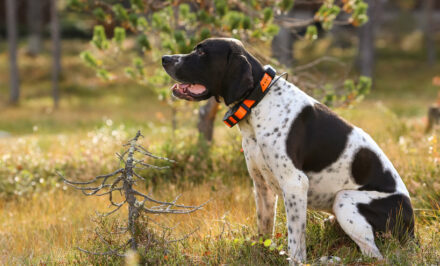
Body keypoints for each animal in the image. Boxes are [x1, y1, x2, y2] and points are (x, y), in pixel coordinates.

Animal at [161, 38, 412, 264]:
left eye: (202, 52)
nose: (165, 58)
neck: (259, 102)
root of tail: (411, 230)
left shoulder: (295, 184)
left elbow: (295, 245)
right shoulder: (261, 184)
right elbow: (264, 229)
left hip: (344, 200)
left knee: (375, 256)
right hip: (331, 218)